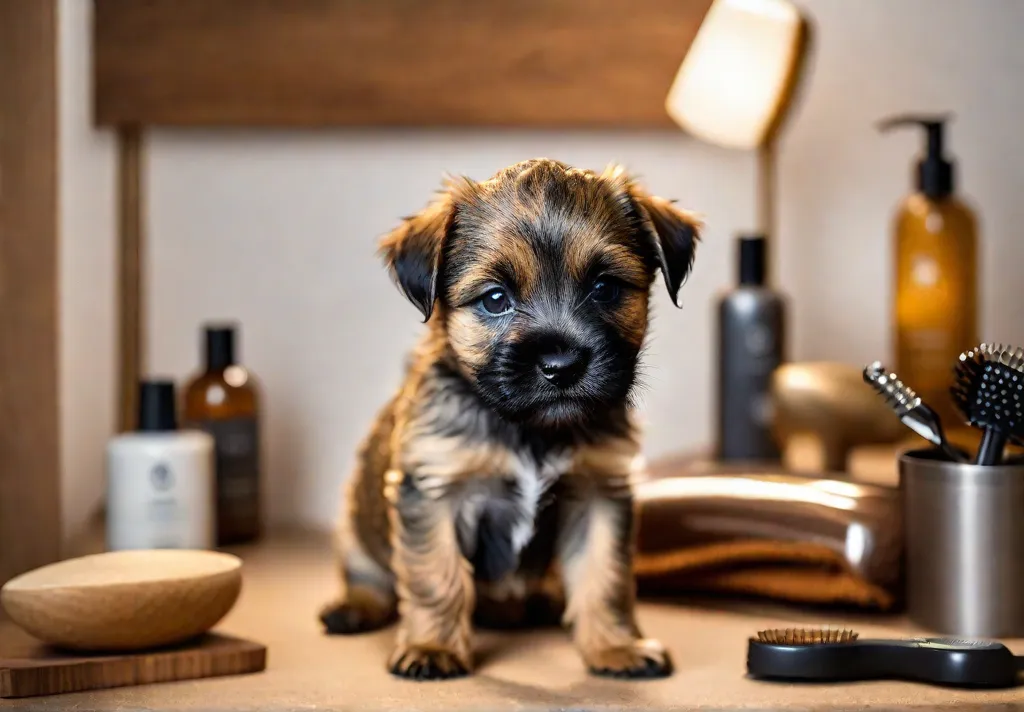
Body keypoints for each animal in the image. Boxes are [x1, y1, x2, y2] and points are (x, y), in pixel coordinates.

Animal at [323, 158, 700, 684]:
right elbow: (435, 575)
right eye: (495, 299)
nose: (562, 364)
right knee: (369, 575)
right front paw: (431, 647)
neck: (528, 428)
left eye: (605, 288)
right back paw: (352, 608)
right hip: (354, 522)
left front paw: (615, 647)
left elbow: (604, 577)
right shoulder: (433, 491)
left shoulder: (599, 492)